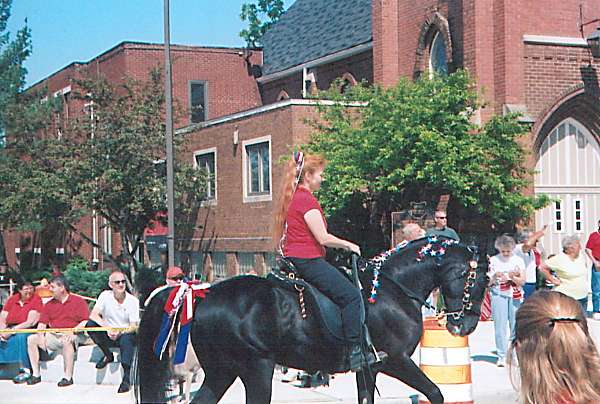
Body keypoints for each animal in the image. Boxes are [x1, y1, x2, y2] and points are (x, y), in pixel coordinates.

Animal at [136, 237, 488, 404]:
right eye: (477, 279)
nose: (464, 326)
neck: (391, 288)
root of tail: (202, 293)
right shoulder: (395, 360)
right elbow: (436, 393)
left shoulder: (368, 369)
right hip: (256, 368)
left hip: (222, 371)